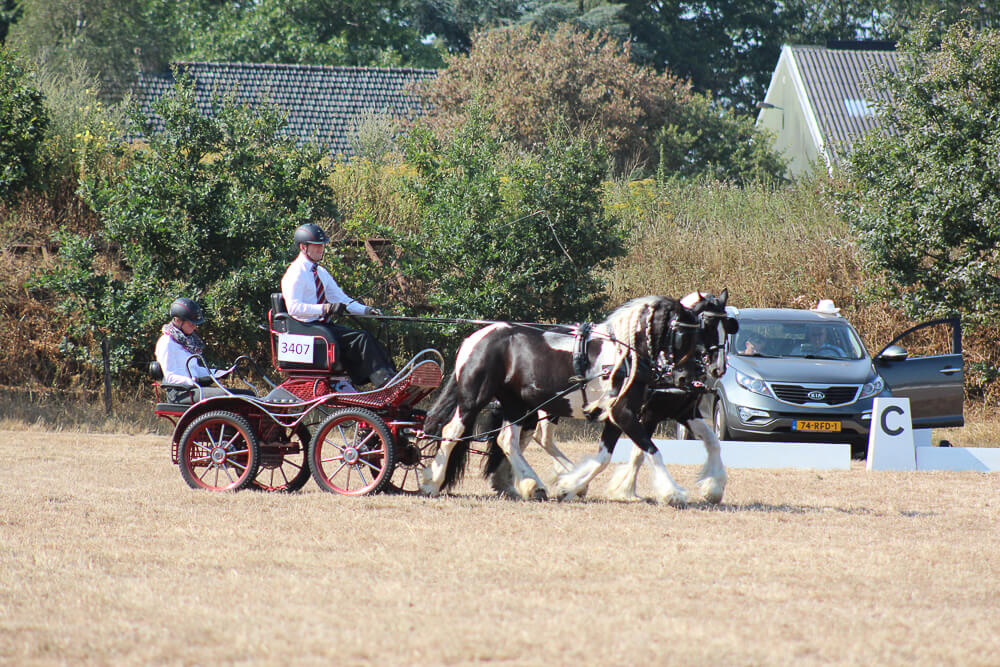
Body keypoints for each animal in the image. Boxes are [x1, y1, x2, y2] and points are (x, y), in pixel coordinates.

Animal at [417, 293, 731, 503]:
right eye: (684, 333)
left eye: (727, 328)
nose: (688, 376)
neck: (627, 355)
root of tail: (476, 336)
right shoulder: (629, 414)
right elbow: (650, 450)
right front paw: (670, 492)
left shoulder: (632, 415)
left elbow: (607, 457)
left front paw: (572, 485)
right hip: (475, 397)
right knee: (452, 432)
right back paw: (433, 481)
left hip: (518, 405)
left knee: (508, 440)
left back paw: (530, 484)